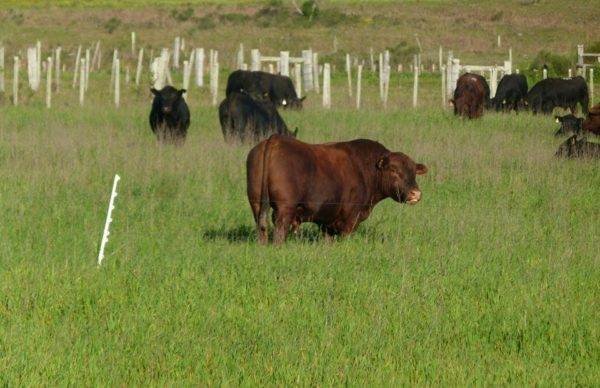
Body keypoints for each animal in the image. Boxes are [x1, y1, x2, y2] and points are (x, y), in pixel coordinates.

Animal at [246, 135, 428, 244]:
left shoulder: (327, 221)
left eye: (413, 172)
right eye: (394, 171)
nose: (416, 193)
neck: (365, 168)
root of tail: (275, 139)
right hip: (285, 209)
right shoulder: (350, 219)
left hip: (256, 204)